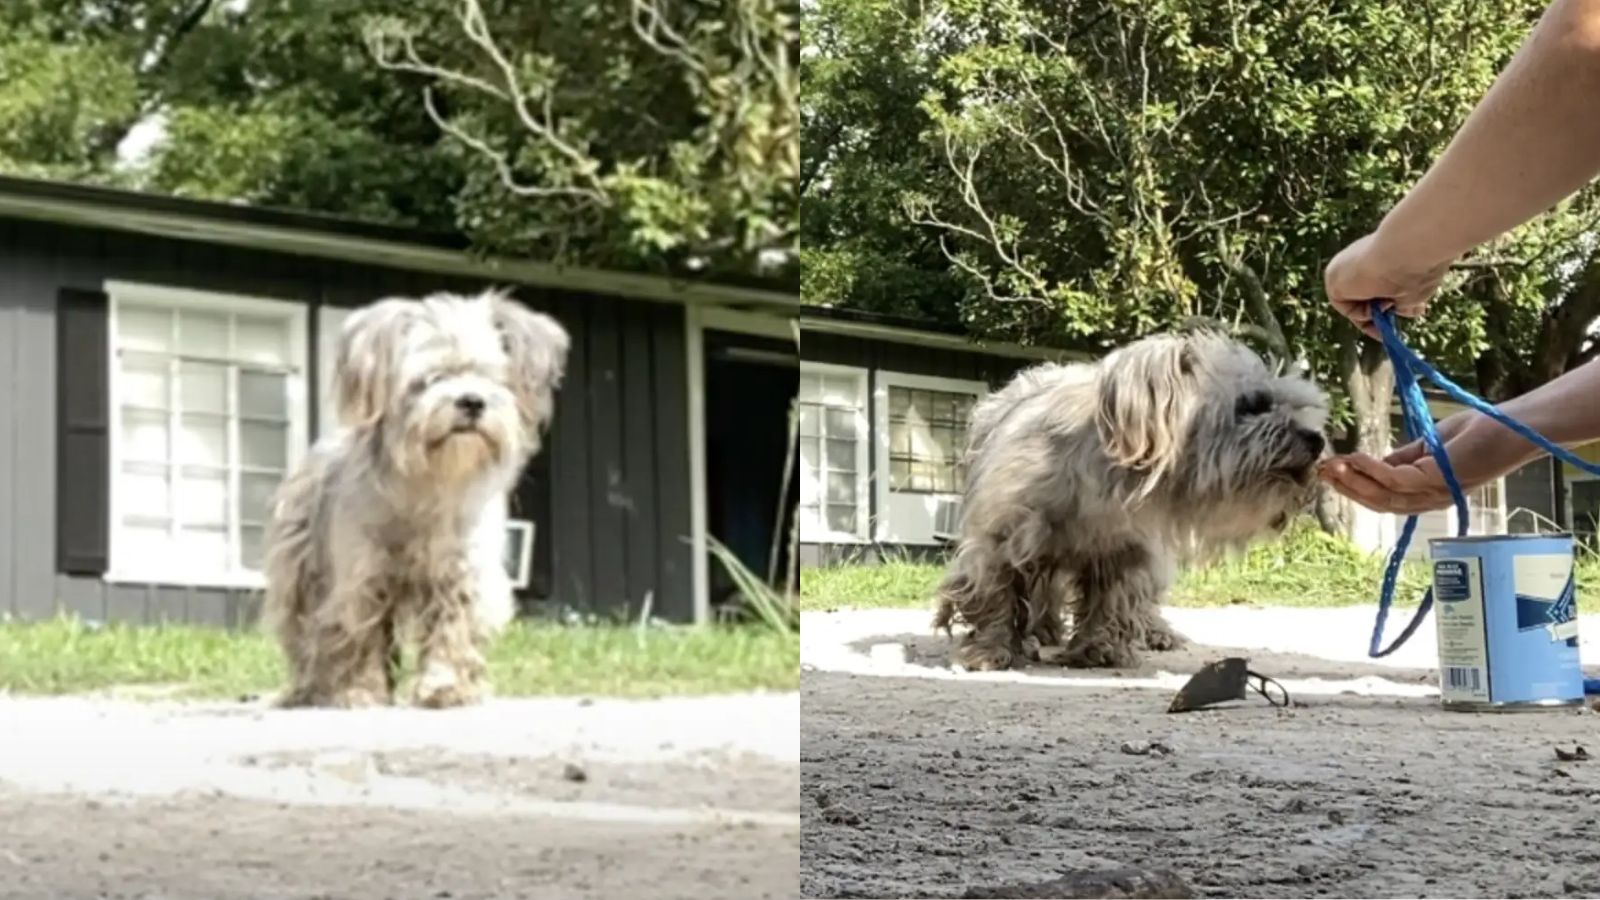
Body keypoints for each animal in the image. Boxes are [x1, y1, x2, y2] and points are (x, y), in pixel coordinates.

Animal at [260, 291, 563, 704]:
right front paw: (360, 691)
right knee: (306, 637)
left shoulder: (460, 572)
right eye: (429, 379)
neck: (430, 482)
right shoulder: (361, 577)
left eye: (489, 377)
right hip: (300, 572)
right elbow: (361, 636)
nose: (472, 401)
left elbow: (453, 631)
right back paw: (309, 689)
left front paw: (447, 687)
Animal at [928, 325, 1324, 669]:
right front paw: (990, 649)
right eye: (1251, 405)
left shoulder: (1125, 550)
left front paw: (1097, 648)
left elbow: (1111, 599)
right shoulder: (998, 540)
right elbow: (995, 594)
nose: (1317, 440)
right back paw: (1043, 631)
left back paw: (1155, 632)